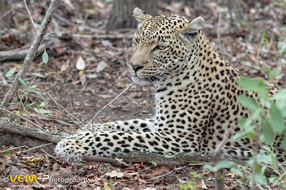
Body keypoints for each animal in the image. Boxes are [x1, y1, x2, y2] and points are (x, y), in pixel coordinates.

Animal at [54, 7, 282, 162]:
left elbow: (119, 136)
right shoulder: (160, 125)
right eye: (137, 40)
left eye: (160, 47)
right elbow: (128, 123)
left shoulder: (179, 139)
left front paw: (72, 143)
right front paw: (89, 127)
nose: (134, 66)